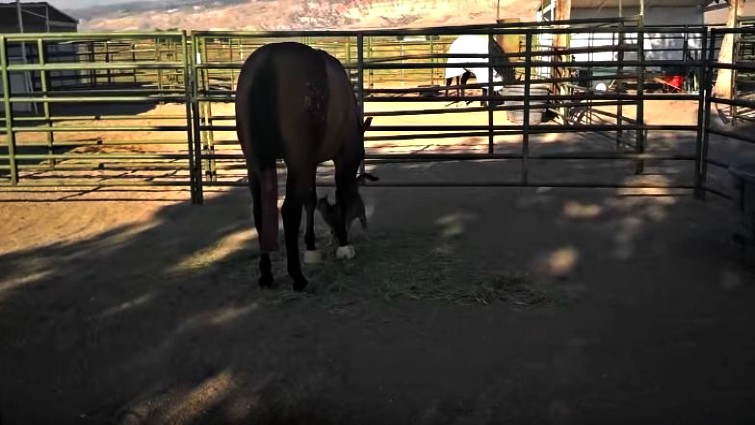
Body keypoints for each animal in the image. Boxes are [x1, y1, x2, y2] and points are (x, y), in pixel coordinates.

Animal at [235, 41, 376, 291]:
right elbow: (340, 195)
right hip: (296, 161)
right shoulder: (339, 159)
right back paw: (297, 277)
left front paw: (311, 246)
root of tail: (268, 61)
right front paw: (343, 244)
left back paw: (266, 274)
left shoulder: (310, 162)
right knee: (289, 211)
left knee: (260, 212)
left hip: (255, 164)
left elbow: (310, 199)